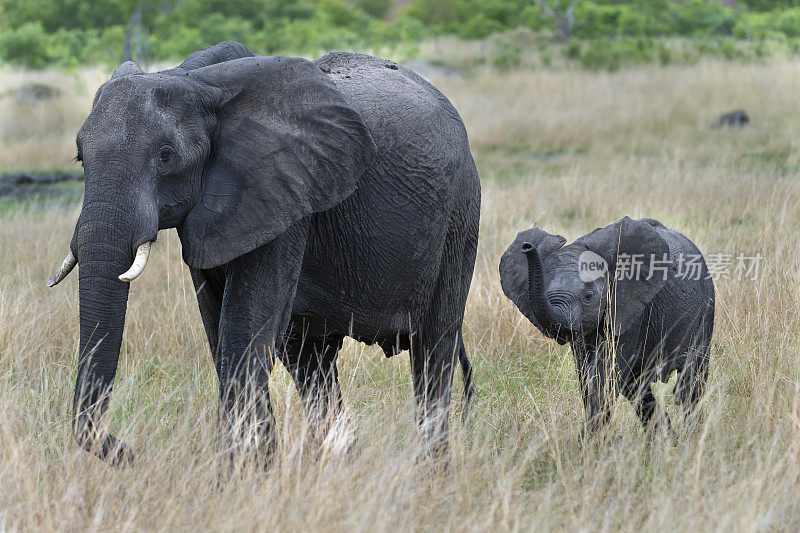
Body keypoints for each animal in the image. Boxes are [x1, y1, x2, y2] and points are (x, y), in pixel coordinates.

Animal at [50, 42, 478, 466]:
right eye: (80, 157)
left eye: (166, 156)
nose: (130, 452)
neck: (195, 80)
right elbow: (220, 334)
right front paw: (255, 471)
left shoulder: (284, 195)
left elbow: (243, 330)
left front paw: (241, 475)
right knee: (309, 359)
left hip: (459, 217)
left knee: (433, 350)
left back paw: (431, 473)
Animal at [500, 216, 720, 436]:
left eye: (588, 296)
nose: (527, 246)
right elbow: (587, 376)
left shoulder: (631, 308)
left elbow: (604, 373)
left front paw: (587, 443)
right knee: (637, 389)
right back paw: (666, 441)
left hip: (705, 310)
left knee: (690, 384)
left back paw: (690, 439)